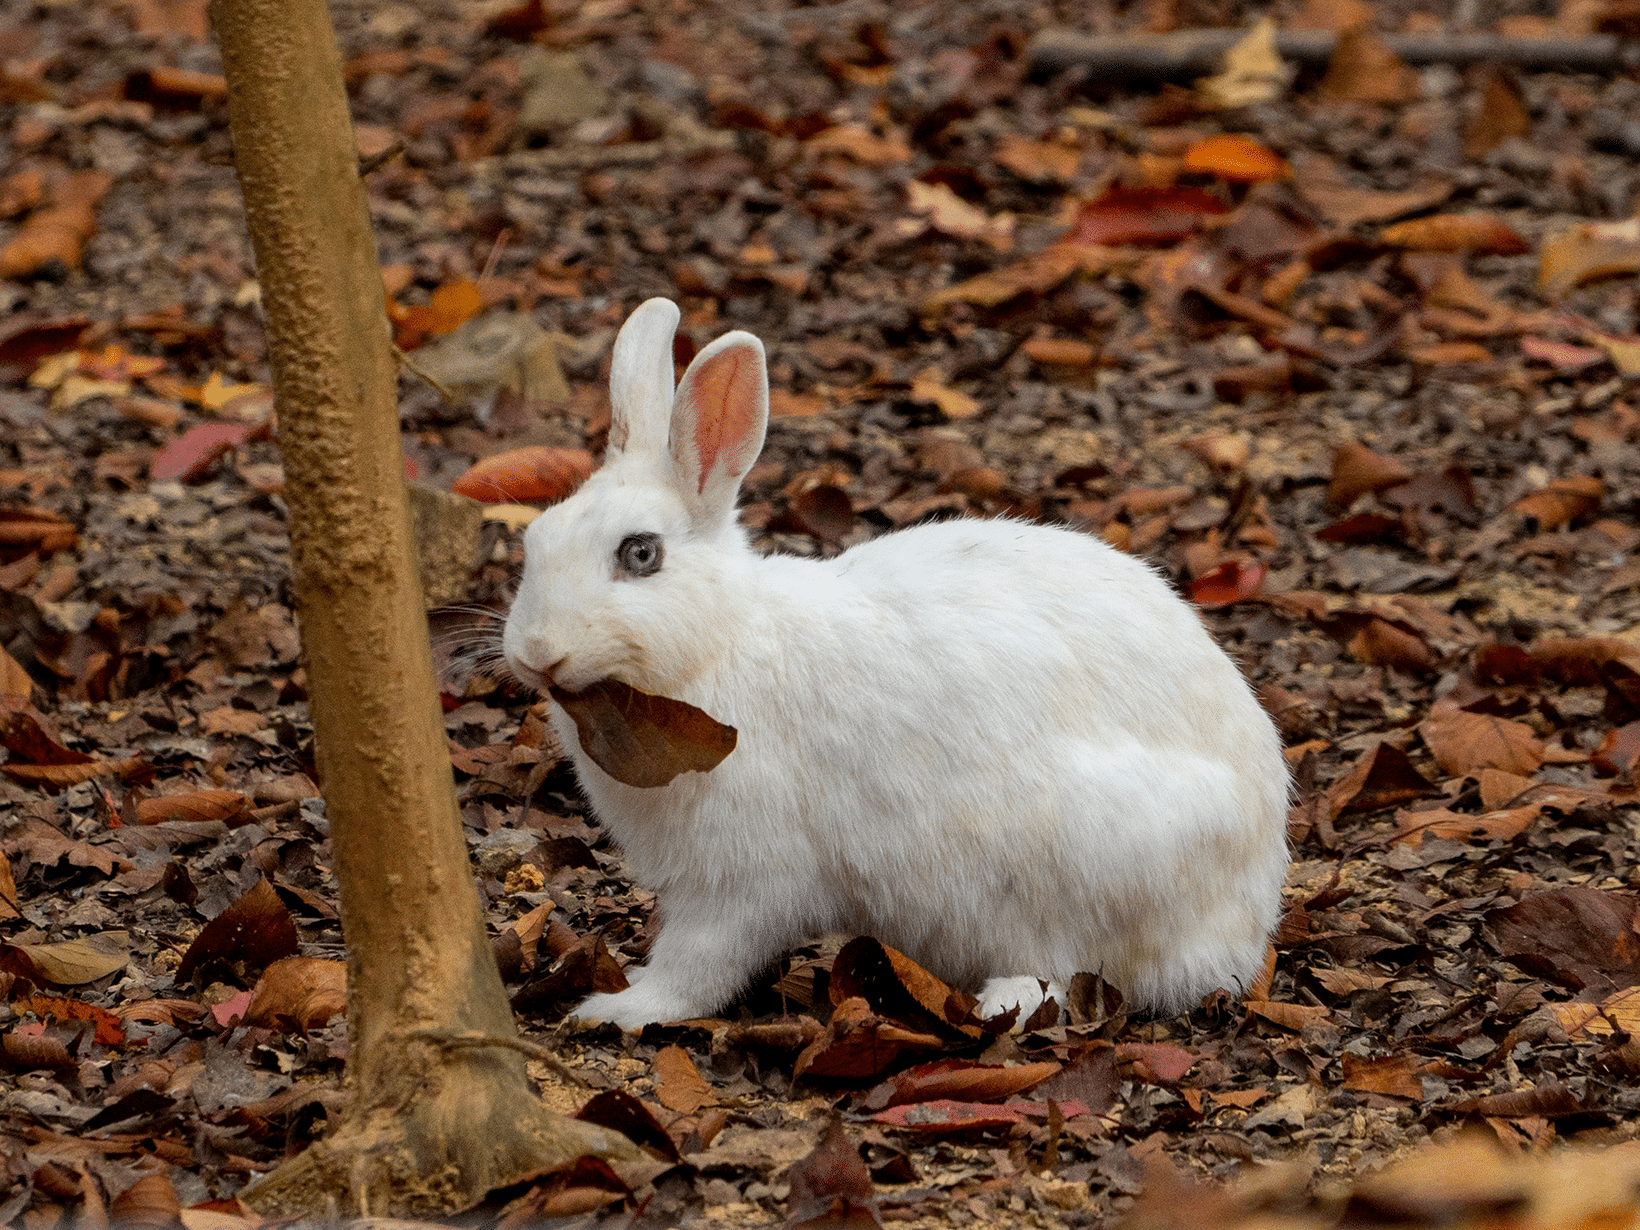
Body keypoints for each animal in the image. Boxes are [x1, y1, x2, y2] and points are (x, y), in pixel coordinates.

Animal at [498, 298, 1292, 1029]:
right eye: (536, 538)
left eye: (641, 554)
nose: (536, 653)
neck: (723, 641)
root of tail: (1248, 918)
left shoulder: (741, 881)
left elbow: (698, 965)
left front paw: (618, 1009)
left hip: (1080, 864)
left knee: (1063, 971)